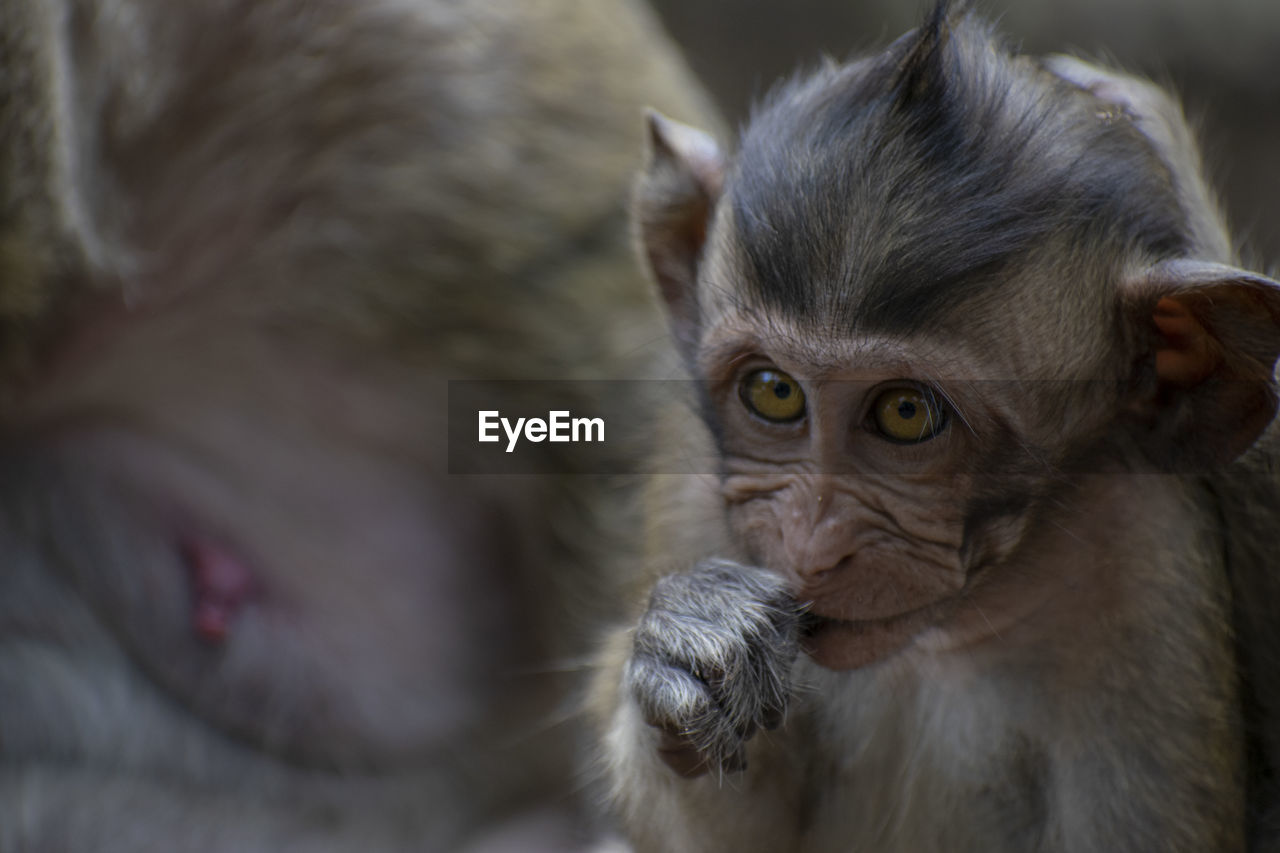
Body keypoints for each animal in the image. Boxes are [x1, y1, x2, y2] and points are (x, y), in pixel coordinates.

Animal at [593, 3, 1280, 845]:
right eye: (775, 392)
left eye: (906, 411)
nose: (812, 544)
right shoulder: (695, 488)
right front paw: (688, 648)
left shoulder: (1147, 566)